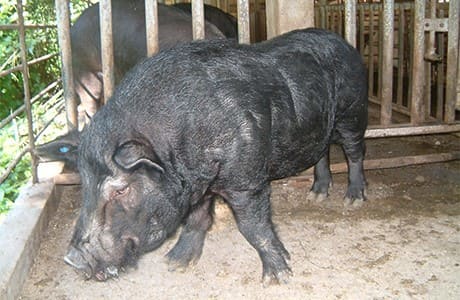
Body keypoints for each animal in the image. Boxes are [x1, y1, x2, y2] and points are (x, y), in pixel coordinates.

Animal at [63, 28, 368, 286]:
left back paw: (353, 199)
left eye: (121, 190)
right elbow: (196, 219)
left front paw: (278, 278)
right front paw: (175, 264)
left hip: (352, 112)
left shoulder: (247, 180)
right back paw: (317, 195)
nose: (71, 259)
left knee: (355, 152)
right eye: (84, 185)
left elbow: (252, 227)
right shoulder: (198, 183)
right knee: (322, 151)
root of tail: (344, 42)